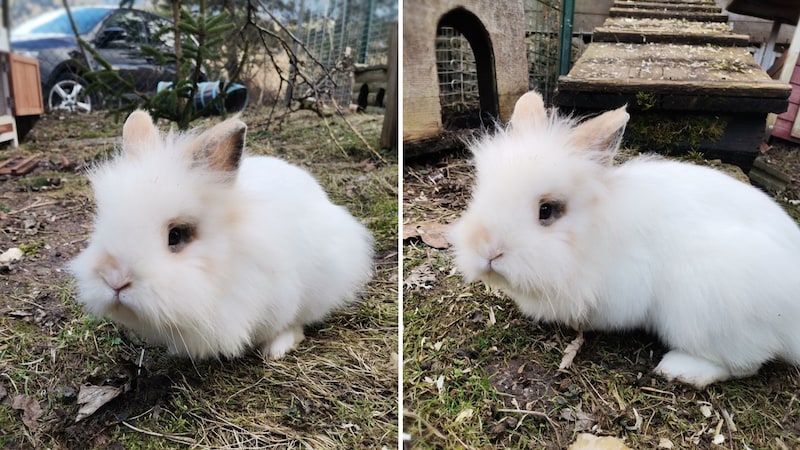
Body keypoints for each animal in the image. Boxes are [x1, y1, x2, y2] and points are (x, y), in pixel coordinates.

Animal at [69, 110, 376, 360]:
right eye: (102, 223)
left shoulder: (284, 295)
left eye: (176, 235)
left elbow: (288, 324)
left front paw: (277, 348)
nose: (115, 280)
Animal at [450, 90, 800, 386]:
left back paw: (680, 369)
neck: (590, 235)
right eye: (481, 193)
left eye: (547, 210)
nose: (487, 250)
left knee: (745, 364)